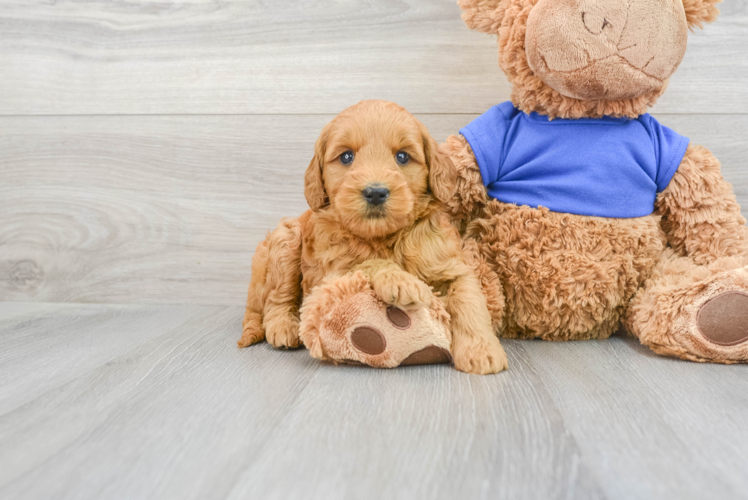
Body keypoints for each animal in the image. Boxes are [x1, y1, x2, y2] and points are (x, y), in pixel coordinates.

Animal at [240, 99, 508, 374]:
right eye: (346, 156)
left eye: (402, 156)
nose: (376, 192)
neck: (385, 238)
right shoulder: (331, 272)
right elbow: (367, 262)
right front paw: (401, 281)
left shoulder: (452, 265)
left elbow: (469, 299)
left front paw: (481, 350)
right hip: (286, 239)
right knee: (277, 296)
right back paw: (283, 326)